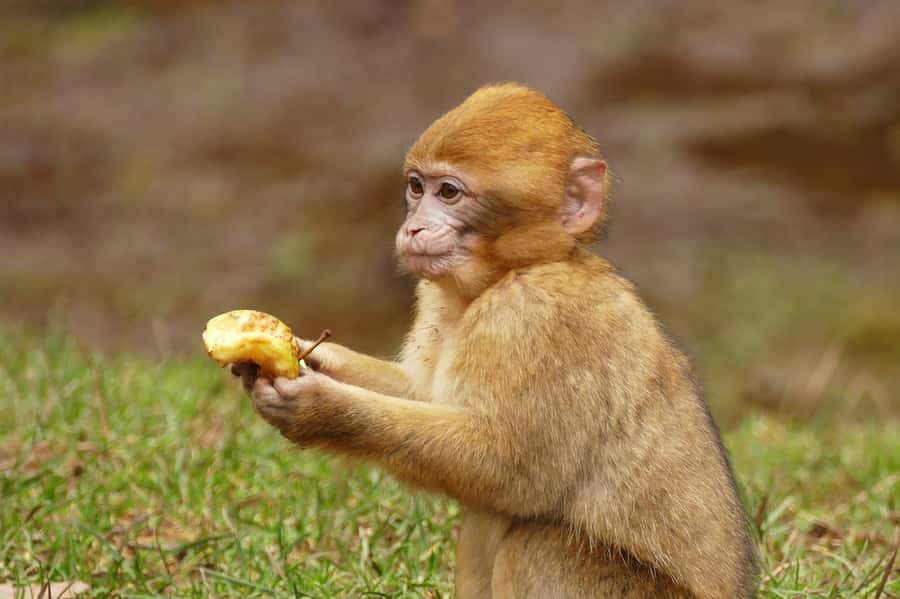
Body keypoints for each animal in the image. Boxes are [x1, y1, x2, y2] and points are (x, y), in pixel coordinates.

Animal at [232, 82, 757, 598]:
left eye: (449, 192)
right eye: (417, 187)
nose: (413, 227)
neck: (516, 270)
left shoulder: (535, 316)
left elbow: (510, 471)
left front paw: (320, 408)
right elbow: (425, 396)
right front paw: (310, 357)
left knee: (536, 542)